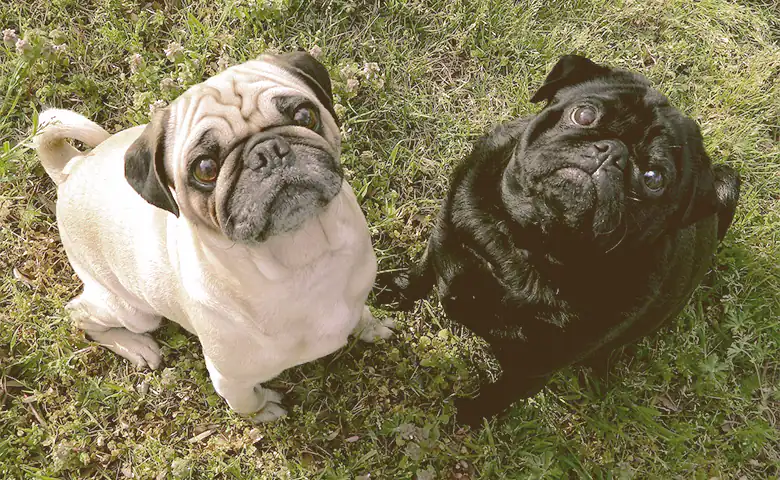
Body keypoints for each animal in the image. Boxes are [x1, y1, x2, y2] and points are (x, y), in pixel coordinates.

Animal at [33, 50, 394, 422]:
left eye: (305, 116)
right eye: (205, 169)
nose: (267, 150)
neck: (300, 256)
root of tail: (71, 167)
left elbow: (361, 316)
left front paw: (372, 328)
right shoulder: (230, 379)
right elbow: (247, 403)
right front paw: (263, 412)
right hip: (131, 310)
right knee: (79, 313)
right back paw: (136, 347)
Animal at [374, 54, 740, 426]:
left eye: (654, 178)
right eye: (584, 115)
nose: (613, 152)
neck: (521, 245)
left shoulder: (531, 371)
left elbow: (497, 396)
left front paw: (469, 417)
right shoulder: (444, 233)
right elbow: (423, 270)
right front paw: (393, 292)